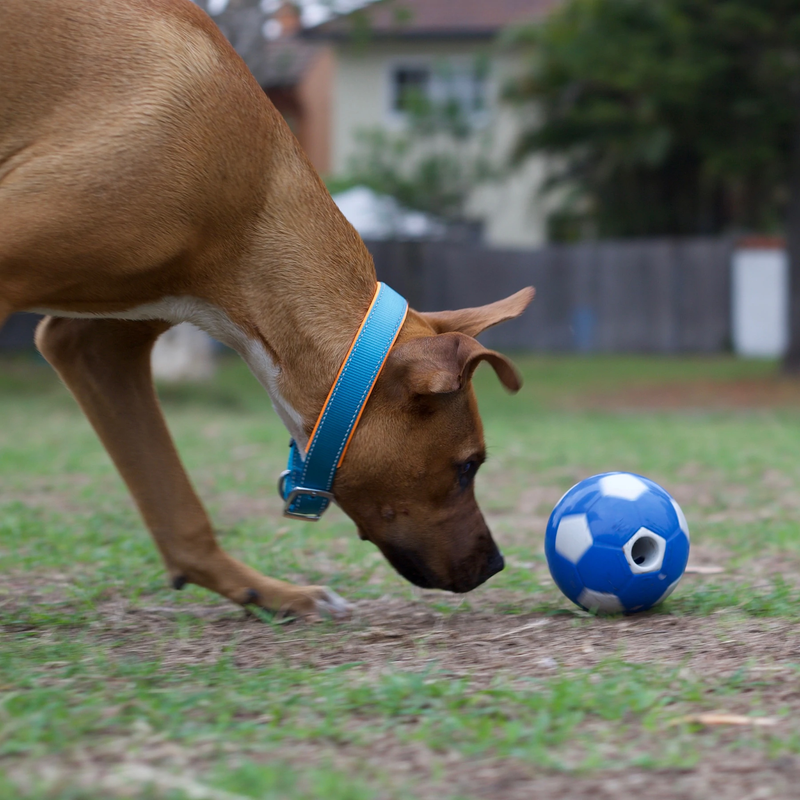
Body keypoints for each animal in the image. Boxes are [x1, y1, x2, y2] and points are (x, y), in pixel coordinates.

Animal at [4, 0, 536, 620]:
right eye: (469, 466)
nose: (496, 563)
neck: (251, 201)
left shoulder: (95, 345)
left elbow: (179, 511)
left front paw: (270, 591)